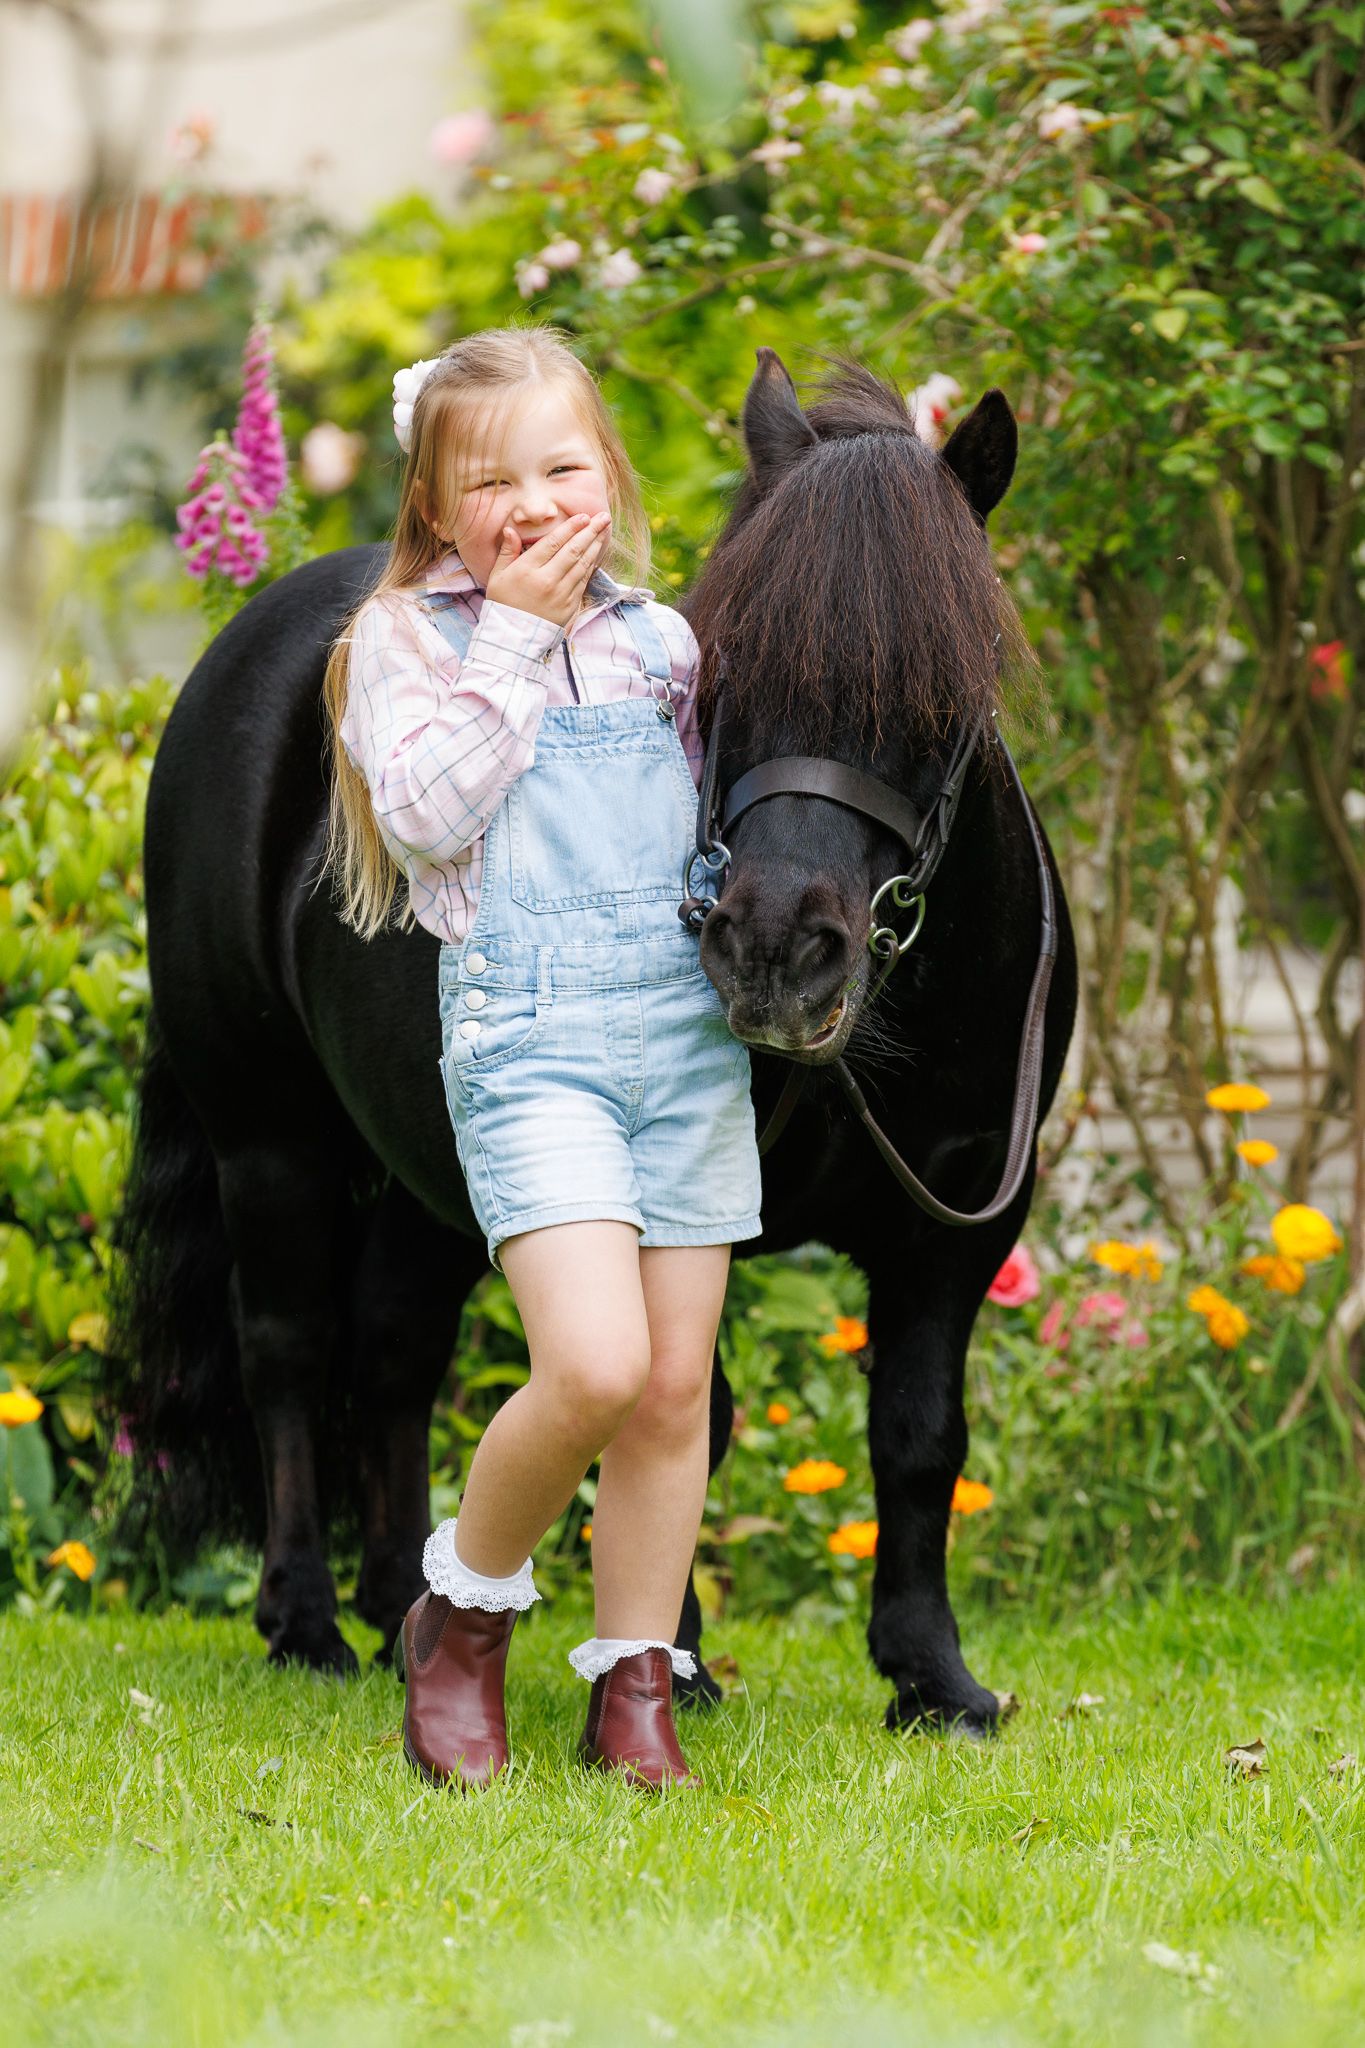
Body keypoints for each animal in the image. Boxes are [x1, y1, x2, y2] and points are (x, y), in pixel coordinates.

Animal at [107, 345, 1076, 1736]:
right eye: (725, 673)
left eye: (939, 690)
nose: (776, 947)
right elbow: (691, 1418)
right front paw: (678, 1656)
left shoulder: (960, 1221)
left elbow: (918, 1431)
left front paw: (933, 1677)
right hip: (267, 1134)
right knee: (286, 1348)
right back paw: (306, 1623)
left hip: (430, 1173)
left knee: (394, 1351)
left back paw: (404, 1603)